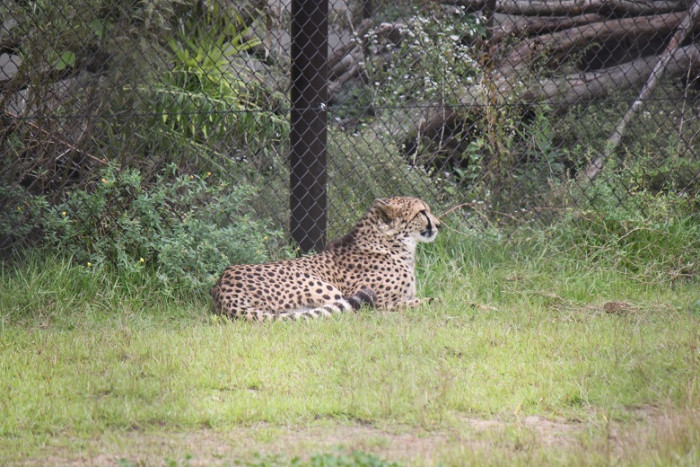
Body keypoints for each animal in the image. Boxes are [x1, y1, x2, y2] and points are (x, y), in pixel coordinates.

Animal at [208, 197, 440, 322]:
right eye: (422, 212)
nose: (438, 224)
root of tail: (222, 286)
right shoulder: (379, 301)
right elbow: (416, 303)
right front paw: (434, 301)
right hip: (319, 286)